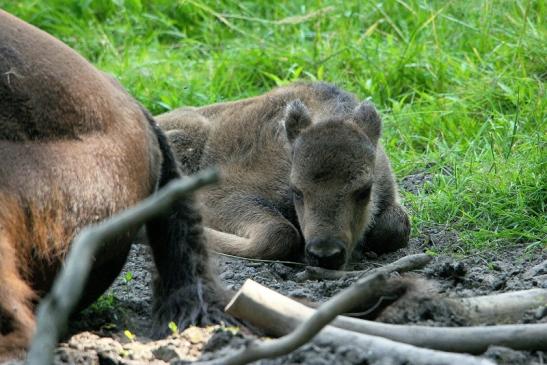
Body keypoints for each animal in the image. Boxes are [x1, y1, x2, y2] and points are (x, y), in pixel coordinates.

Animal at [158, 83, 412, 270]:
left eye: (364, 190)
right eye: (296, 190)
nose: (325, 254)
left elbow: (397, 227)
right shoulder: (216, 194)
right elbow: (279, 233)